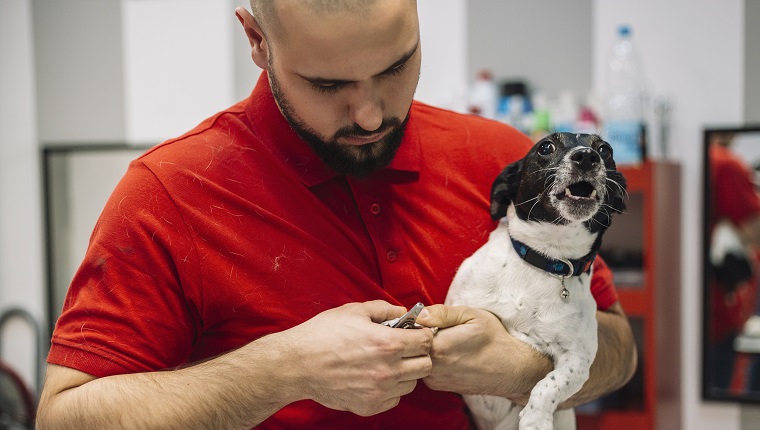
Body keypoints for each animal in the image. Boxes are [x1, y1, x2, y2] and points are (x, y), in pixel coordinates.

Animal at [442, 133, 628, 428]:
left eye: (605, 149)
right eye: (546, 147)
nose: (587, 156)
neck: (546, 259)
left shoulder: (578, 359)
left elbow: (550, 385)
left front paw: (535, 418)